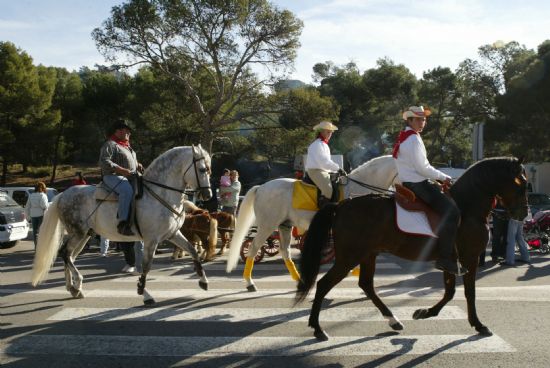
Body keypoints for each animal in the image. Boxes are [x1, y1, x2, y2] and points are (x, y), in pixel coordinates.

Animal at [31, 146, 213, 304]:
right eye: (202, 169)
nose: (208, 195)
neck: (159, 193)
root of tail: (62, 195)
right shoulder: (151, 239)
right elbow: (146, 266)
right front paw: (144, 293)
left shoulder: (173, 234)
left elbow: (193, 251)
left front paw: (204, 281)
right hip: (78, 233)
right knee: (64, 253)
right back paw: (76, 283)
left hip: (83, 235)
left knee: (69, 256)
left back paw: (74, 288)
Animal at [226, 155, 398, 290]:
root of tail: (261, 187)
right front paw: (353, 271)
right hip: (267, 225)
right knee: (254, 248)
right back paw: (250, 283)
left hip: (285, 226)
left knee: (285, 251)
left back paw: (300, 281)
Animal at [298, 157, 532, 340]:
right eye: (522, 184)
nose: (523, 214)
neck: (467, 208)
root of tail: (342, 205)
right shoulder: (470, 258)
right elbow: (469, 292)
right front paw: (478, 324)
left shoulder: (451, 261)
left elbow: (449, 292)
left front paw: (425, 312)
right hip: (349, 257)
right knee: (323, 284)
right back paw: (318, 329)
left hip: (368, 254)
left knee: (366, 285)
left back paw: (393, 320)